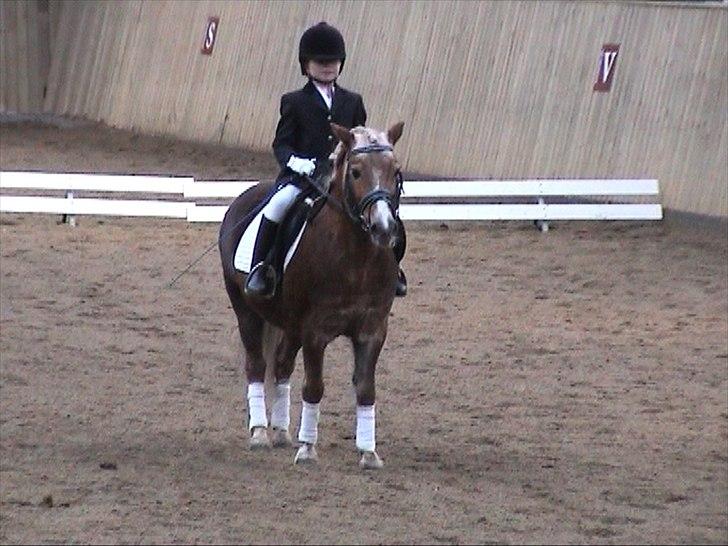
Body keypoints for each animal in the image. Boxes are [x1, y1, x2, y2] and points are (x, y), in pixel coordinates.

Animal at [218, 122, 405, 469]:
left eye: (395, 171)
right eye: (356, 172)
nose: (384, 228)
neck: (357, 260)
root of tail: (245, 196)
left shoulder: (372, 330)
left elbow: (366, 390)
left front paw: (369, 452)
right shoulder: (316, 332)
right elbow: (314, 387)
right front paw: (307, 449)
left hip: (291, 324)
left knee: (281, 366)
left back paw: (280, 432)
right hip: (246, 310)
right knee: (256, 365)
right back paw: (260, 433)